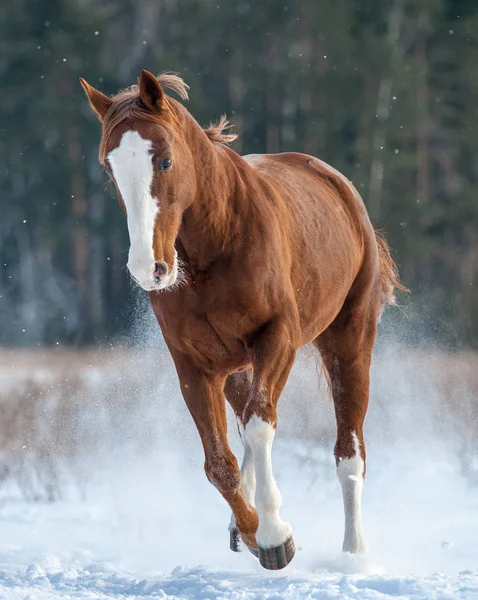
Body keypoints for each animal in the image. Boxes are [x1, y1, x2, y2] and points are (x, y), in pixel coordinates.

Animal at [80, 69, 402, 568]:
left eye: (166, 160)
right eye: (110, 167)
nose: (148, 268)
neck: (215, 242)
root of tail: (337, 183)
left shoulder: (277, 338)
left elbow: (259, 425)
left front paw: (273, 535)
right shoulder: (195, 366)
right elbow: (220, 462)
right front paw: (254, 531)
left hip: (348, 343)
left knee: (349, 453)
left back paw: (354, 552)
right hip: (237, 365)